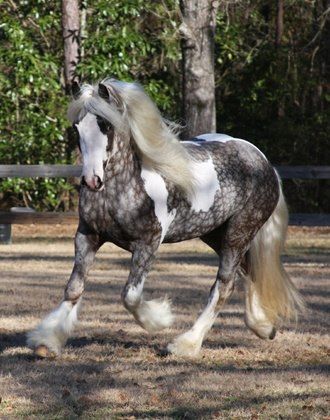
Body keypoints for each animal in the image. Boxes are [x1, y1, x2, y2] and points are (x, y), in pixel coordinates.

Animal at [26, 78, 304, 358]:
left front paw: (160, 319)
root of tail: (263, 161)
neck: (124, 186)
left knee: (224, 285)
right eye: (77, 126)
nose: (92, 180)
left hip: (238, 235)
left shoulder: (148, 243)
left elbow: (130, 296)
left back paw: (185, 344)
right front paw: (46, 342)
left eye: (106, 125)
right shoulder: (87, 236)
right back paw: (264, 327)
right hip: (215, 234)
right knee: (249, 271)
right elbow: (74, 289)